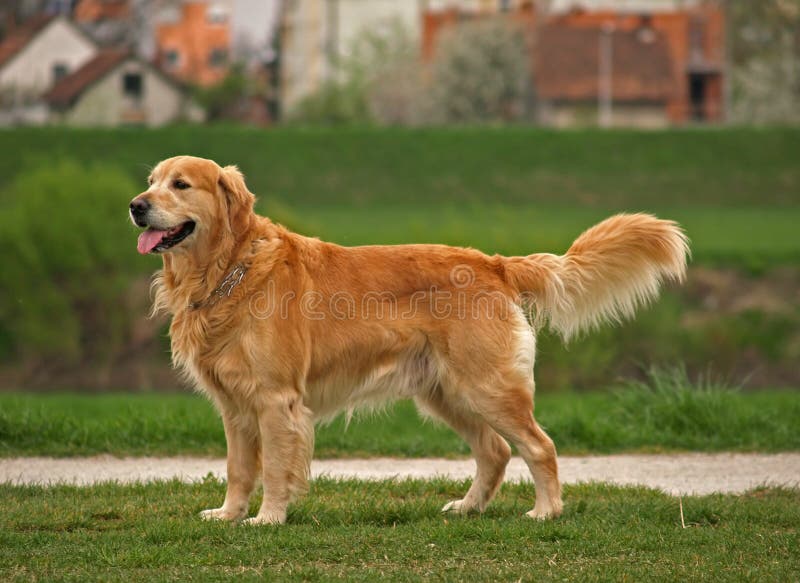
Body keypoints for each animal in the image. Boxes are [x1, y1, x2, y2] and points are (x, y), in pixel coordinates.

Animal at [130, 155, 688, 524]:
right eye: (151, 182)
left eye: (180, 185)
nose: (136, 206)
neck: (229, 269)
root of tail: (495, 263)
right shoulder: (234, 405)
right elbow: (239, 468)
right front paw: (228, 515)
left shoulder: (275, 400)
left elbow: (276, 469)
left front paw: (268, 519)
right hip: (446, 392)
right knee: (495, 452)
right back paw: (467, 507)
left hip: (487, 387)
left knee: (539, 447)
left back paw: (545, 512)